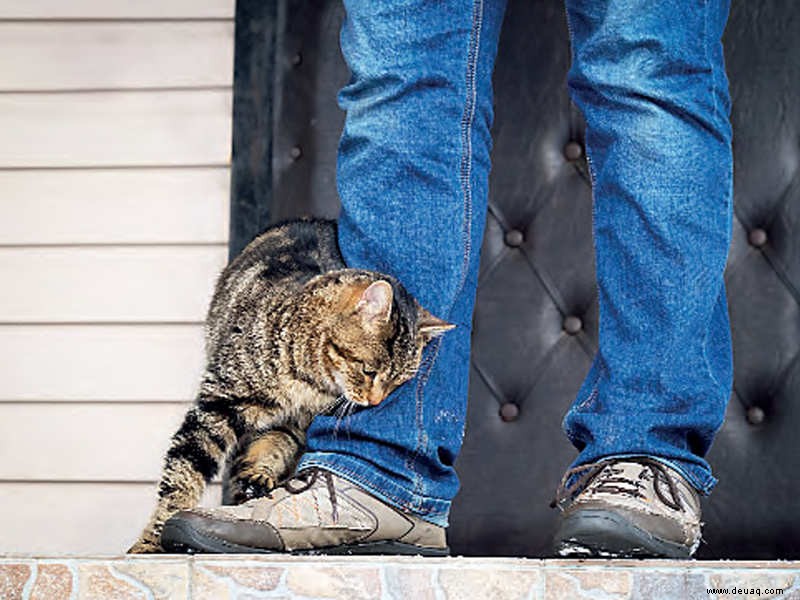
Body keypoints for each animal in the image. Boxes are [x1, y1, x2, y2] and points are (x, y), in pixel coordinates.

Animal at [129, 218, 454, 552]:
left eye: (399, 383)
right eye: (369, 370)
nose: (375, 402)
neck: (309, 382)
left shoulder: (298, 425)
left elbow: (275, 445)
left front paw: (259, 474)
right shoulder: (219, 403)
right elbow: (184, 474)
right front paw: (151, 541)